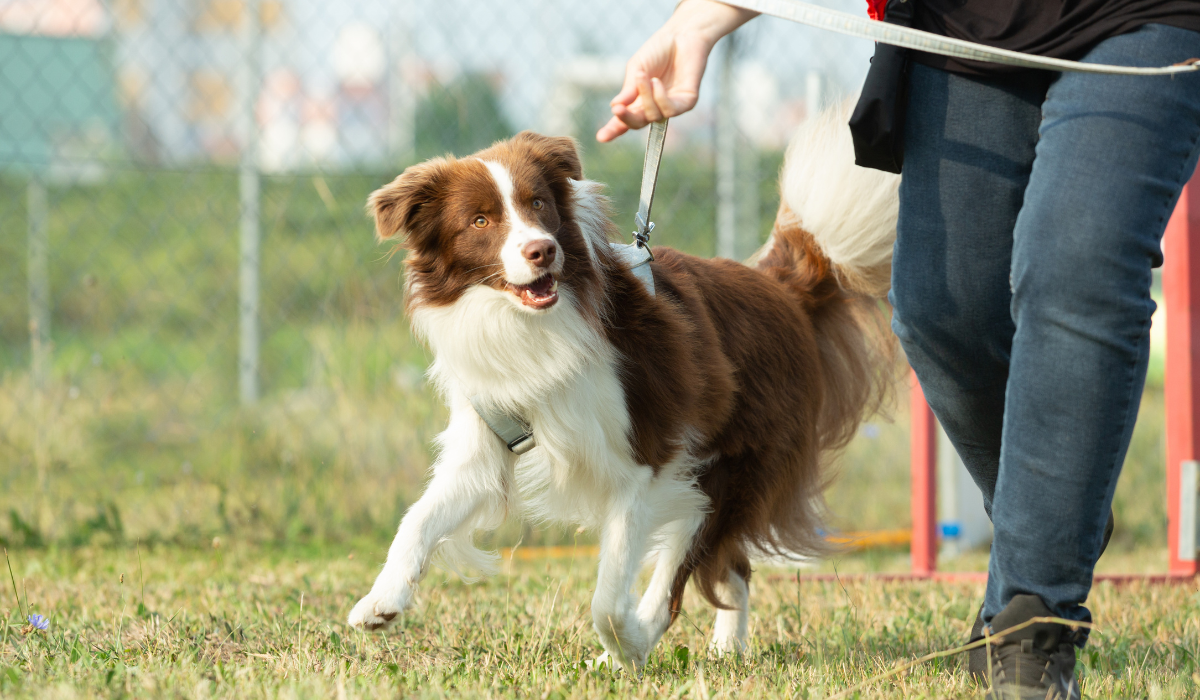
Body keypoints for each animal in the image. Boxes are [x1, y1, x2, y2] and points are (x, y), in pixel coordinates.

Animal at [348, 106, 902, 672]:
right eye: (479, 220)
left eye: (539, 204)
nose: (542, 250)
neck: (533, 325)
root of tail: (780, 288)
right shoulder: (488, 440)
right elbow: (419, 517)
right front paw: (382, 600)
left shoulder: (646, 459)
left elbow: (609, 596)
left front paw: (629, 644)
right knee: (732, 567)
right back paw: (726, 648)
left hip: (728, 468)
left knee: (687, 569)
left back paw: (641, 643)